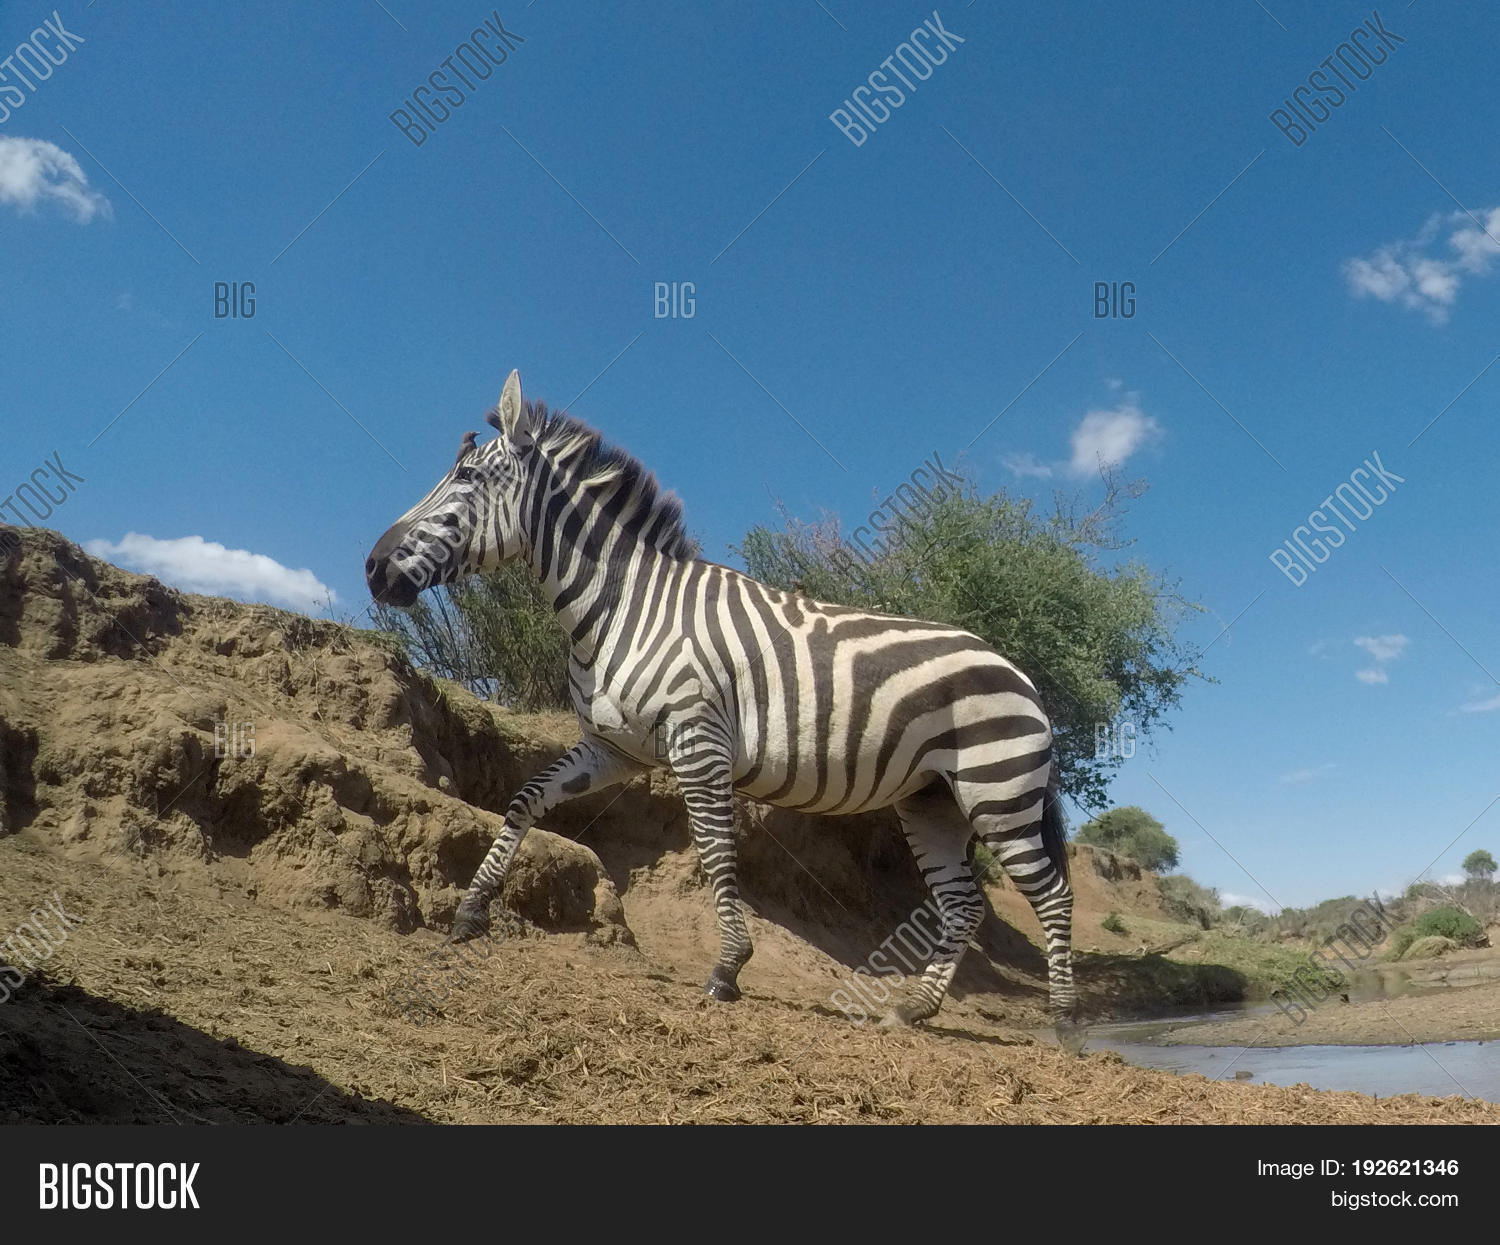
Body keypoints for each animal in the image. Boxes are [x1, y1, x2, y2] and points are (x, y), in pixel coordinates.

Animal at [366, 370, 1081, 1042]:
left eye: (463, 481)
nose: (372, 569)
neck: (623, 605)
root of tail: (1017, 671)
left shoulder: (697, 742)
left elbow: (715, 851)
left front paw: (728, 968)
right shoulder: (615, 748)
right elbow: (524, 799)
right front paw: (471, 909)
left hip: (996, 790)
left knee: (1051, 897)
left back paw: (1067, 1025)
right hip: (933, 799)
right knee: (964, 903)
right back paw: (916, 1008)